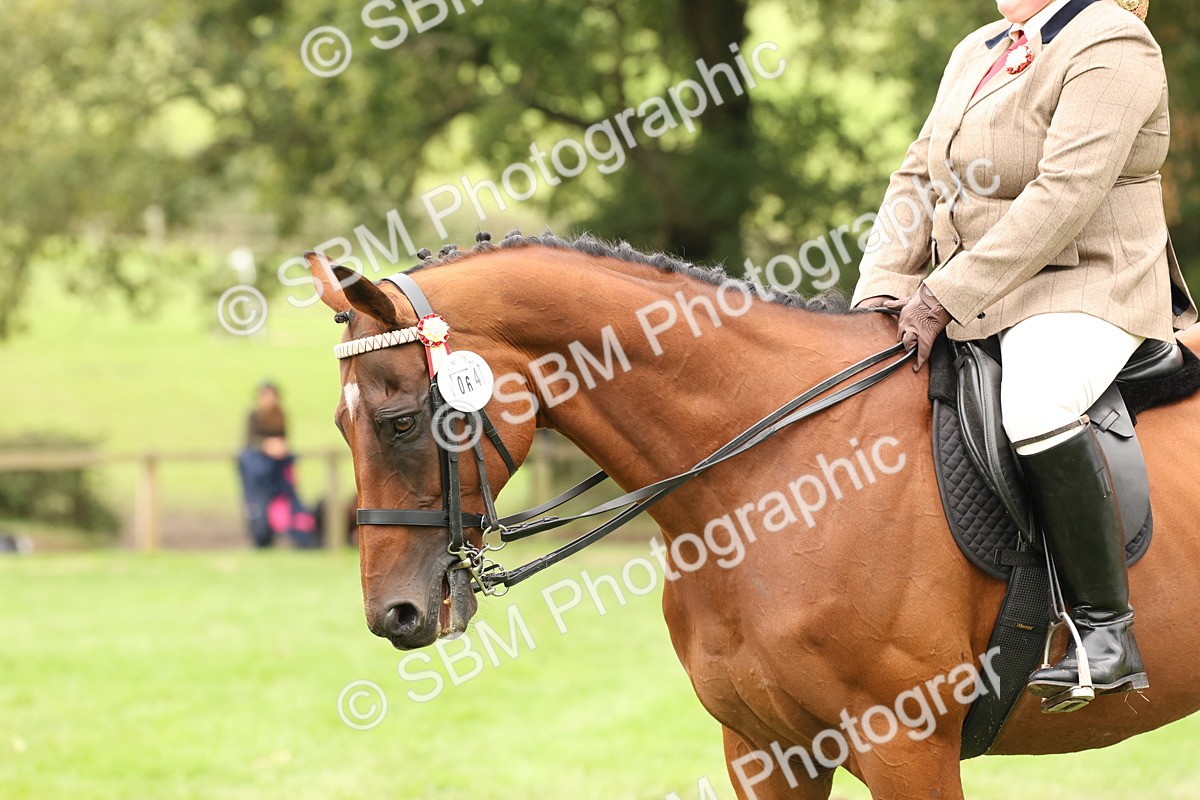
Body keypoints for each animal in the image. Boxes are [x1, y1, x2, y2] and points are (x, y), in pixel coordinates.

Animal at [305, 233, 1200, 799]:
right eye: (344, 426)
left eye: (399, 423)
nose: (395, 614)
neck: (764, 480)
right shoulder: (767, 751)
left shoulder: (906, 745)